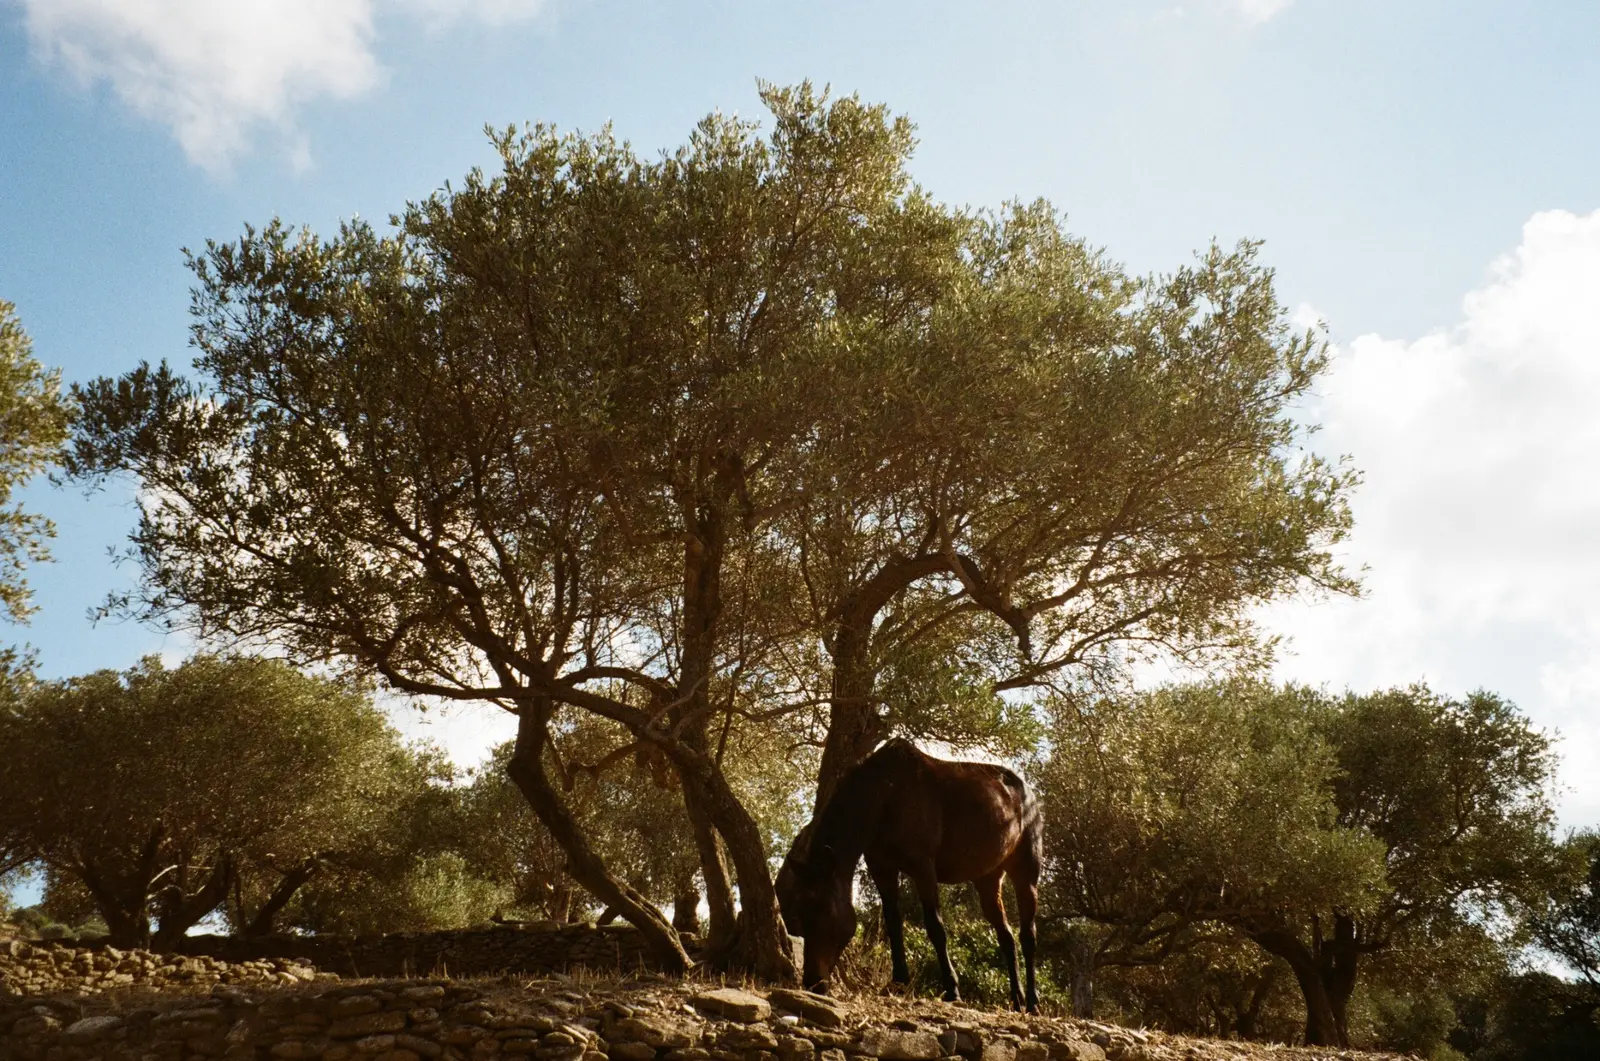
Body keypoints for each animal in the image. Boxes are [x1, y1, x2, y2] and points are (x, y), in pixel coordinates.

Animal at [776, 738, 1043, 1012]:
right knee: (1006, 937)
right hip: (988, 879)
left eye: (825, 910)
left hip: (1026, 873)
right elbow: (894, 924)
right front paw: (898, 982)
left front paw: (952, 989)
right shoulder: (882, 869)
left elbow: (936, 927)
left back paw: (1032, 1002)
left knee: (1028, 936)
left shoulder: (923, 869)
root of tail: (1026, 793)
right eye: (799, 914)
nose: (813, 982)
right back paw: (1017, 999)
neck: (886, 795)